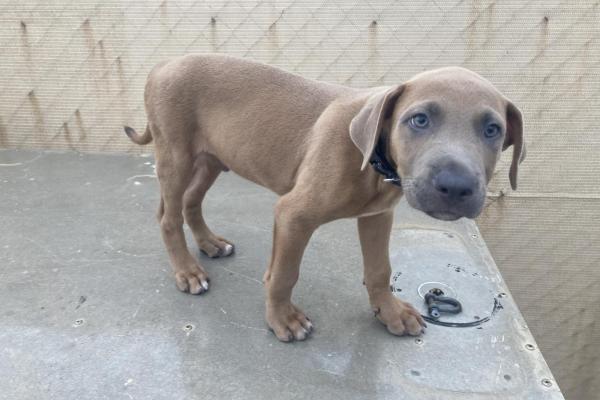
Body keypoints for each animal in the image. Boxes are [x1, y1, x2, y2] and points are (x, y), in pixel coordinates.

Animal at [124, 54, 524, 342]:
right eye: (420, 120)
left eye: (493, 130)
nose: (455, 187)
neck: (372, 162)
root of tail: (163, 65)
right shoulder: (293, 215)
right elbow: (284, 273)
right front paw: (283, 319)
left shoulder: (378, 217)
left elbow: (380, 269)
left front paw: (389, 311)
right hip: (176, 156)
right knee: (168, 216)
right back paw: (187, 271)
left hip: (212, 159)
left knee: (190, 201)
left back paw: (209, 243)